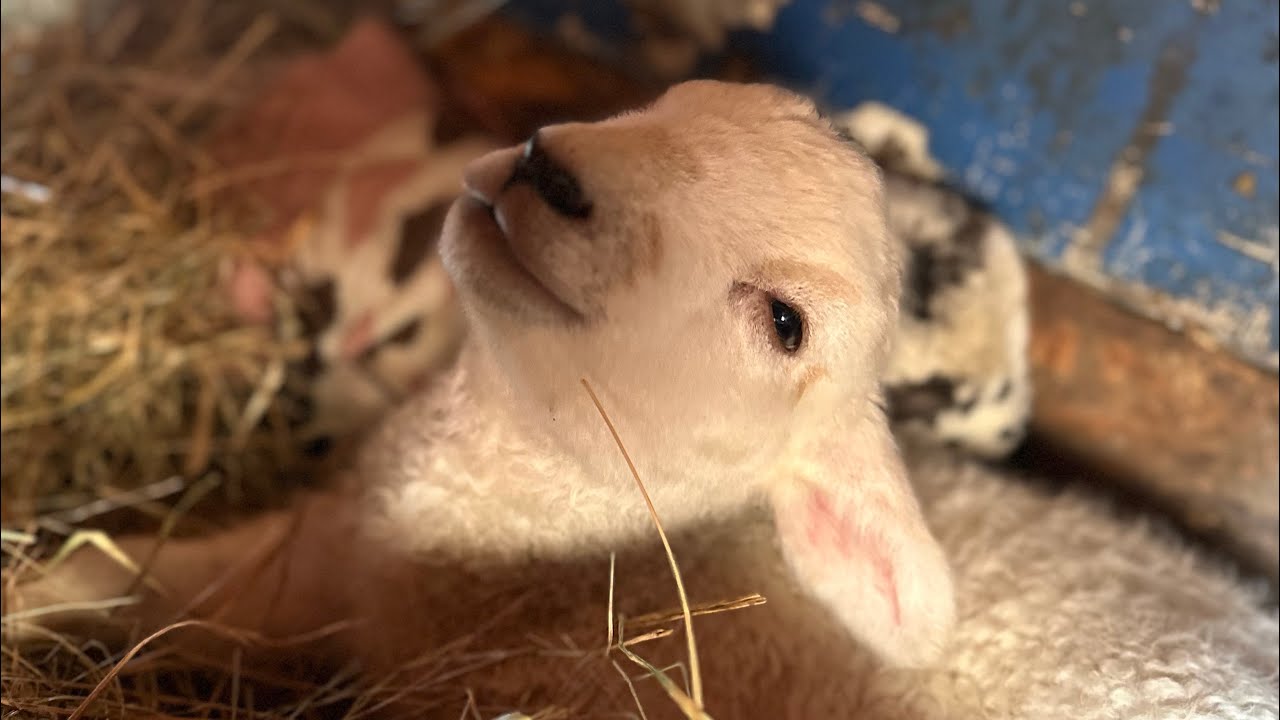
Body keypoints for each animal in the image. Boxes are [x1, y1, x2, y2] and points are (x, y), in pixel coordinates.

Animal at [5, 80, 1276, 720]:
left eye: (784, 324)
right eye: (669, 100)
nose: (548, 168)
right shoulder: (311, 564)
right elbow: (122, 578)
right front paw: (32, 594)